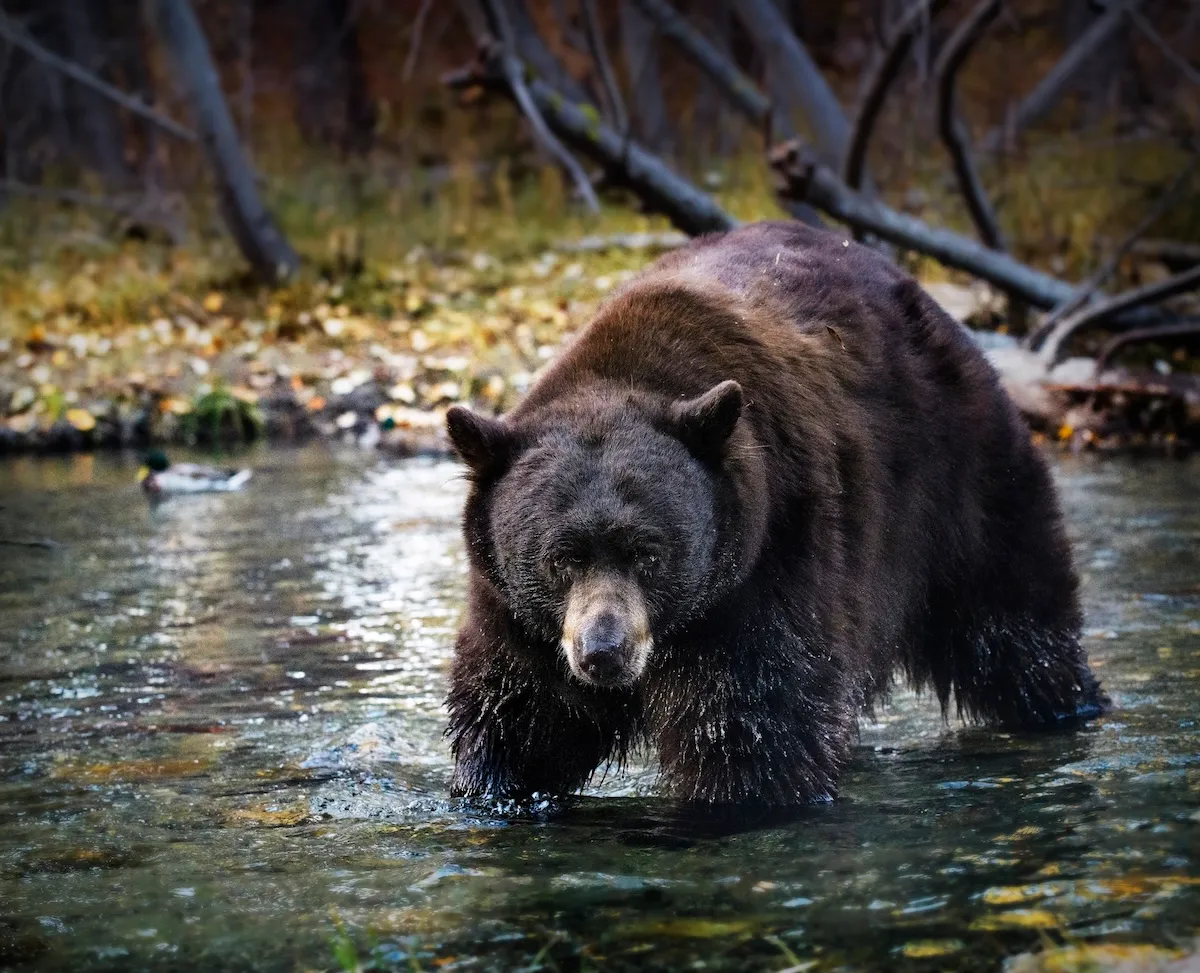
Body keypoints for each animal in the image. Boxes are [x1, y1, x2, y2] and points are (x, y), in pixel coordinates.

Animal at [443, 220, 1107, 806]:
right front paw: (495, 788)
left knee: (1012, 616)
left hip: (959, 478)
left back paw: (1069, 702)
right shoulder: (521, 621)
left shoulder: (772, 560)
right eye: (561, 558)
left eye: (648, 554)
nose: (603, 651)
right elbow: (521, 717)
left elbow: (757, 725)